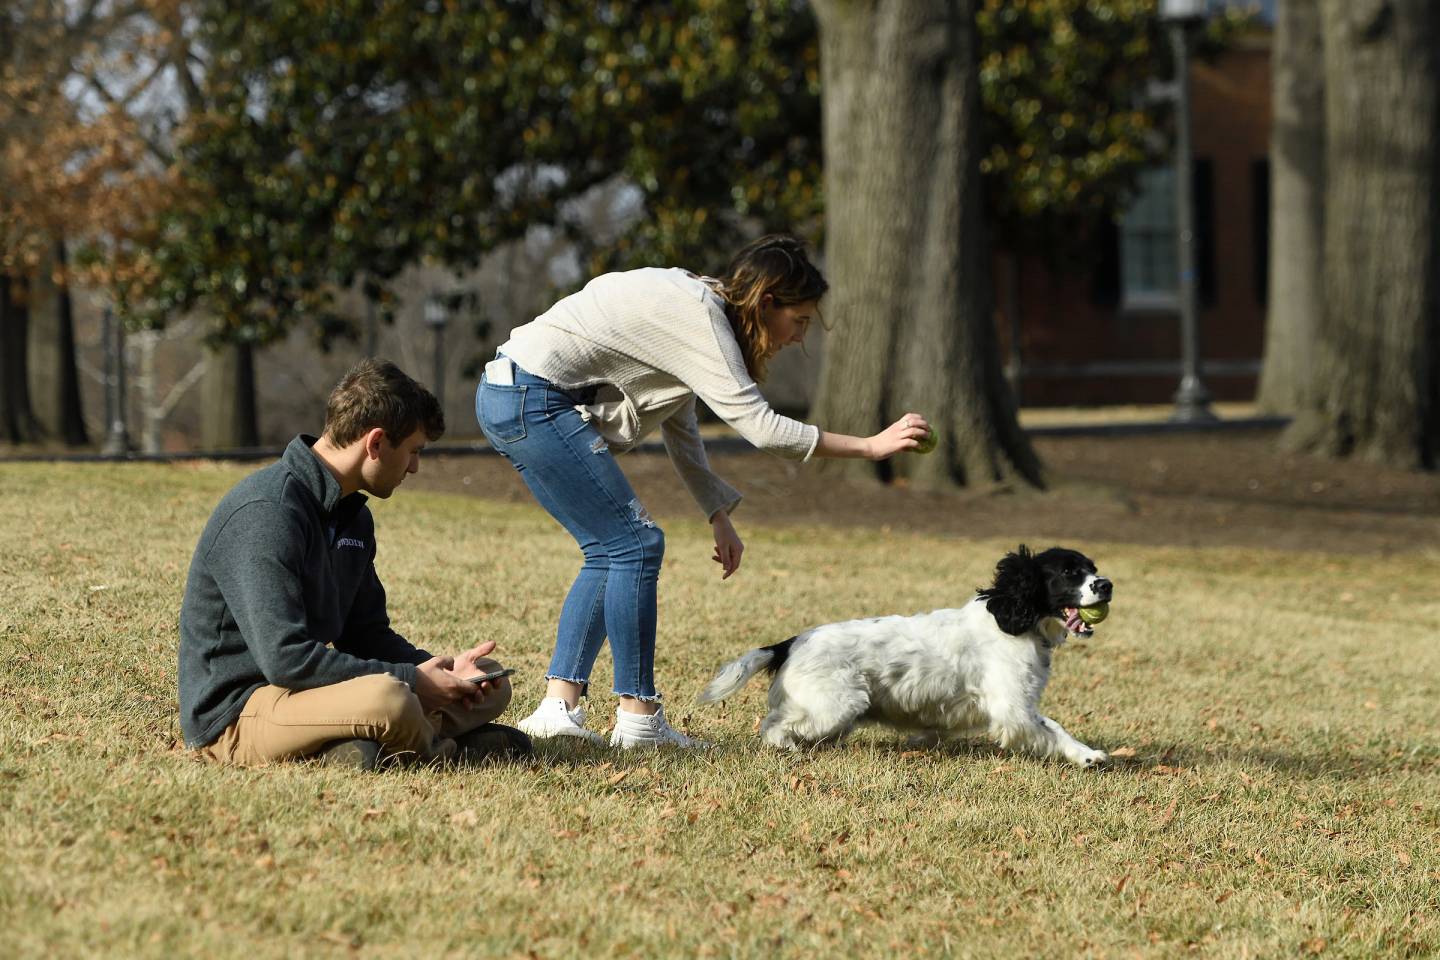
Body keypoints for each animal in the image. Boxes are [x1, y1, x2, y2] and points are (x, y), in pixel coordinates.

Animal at [696, 546, 1111, 765]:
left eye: (1092, 568)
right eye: (1069, 573)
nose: (1106, 584)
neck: (1010, 620)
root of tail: (791, 642)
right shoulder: (1013, 709)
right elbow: (1051, 729)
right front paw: (1086, 755)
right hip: (836, 703)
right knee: (773, 725)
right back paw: (787, 747)